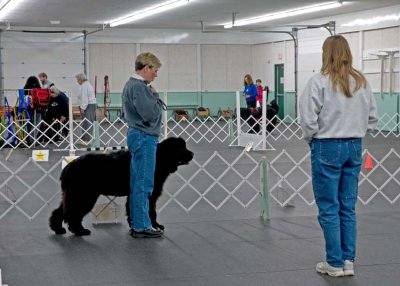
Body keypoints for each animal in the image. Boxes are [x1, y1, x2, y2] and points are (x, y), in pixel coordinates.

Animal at [49, 137, 193, 236]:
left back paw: (58, 228)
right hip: (83, 195)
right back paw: (80, 231)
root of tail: (69, 166)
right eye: (181, 148)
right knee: (73, 213)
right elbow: (151, 211)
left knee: (60, 211)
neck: (158, 158)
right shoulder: (148, 194)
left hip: (72, 194)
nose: (192, 154)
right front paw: (153, 226)